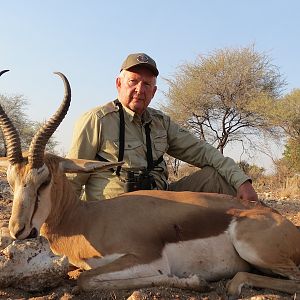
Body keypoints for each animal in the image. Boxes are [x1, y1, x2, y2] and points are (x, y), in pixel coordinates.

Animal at [0, 70, 300, 298]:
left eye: (44, 181)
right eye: (11, 180)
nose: (18, 231)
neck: (84, 220)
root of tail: (284, 223)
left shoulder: (148, 259)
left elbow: (86, 280)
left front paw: (195, 282)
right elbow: (84, 278)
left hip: (254, 250)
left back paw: (234, 285)